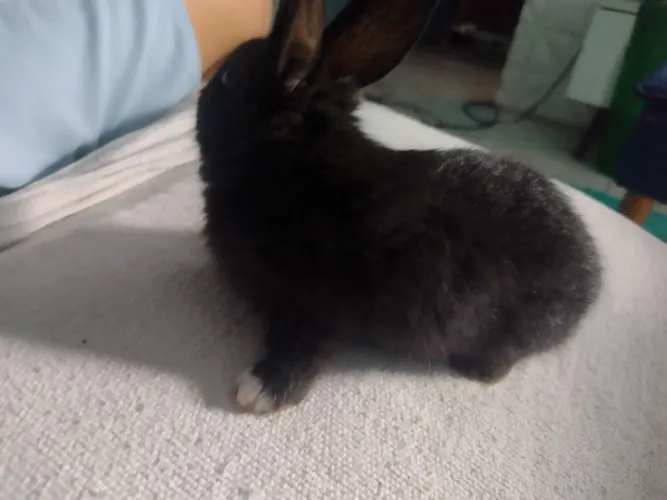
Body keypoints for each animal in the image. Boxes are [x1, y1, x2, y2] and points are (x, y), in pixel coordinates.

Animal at [196, 0, 602, 415]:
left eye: (228, 78)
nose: (204, 90)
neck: (293, 161)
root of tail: (593, 274)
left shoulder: (314, 309)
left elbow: (302, 349)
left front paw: (257, 388)